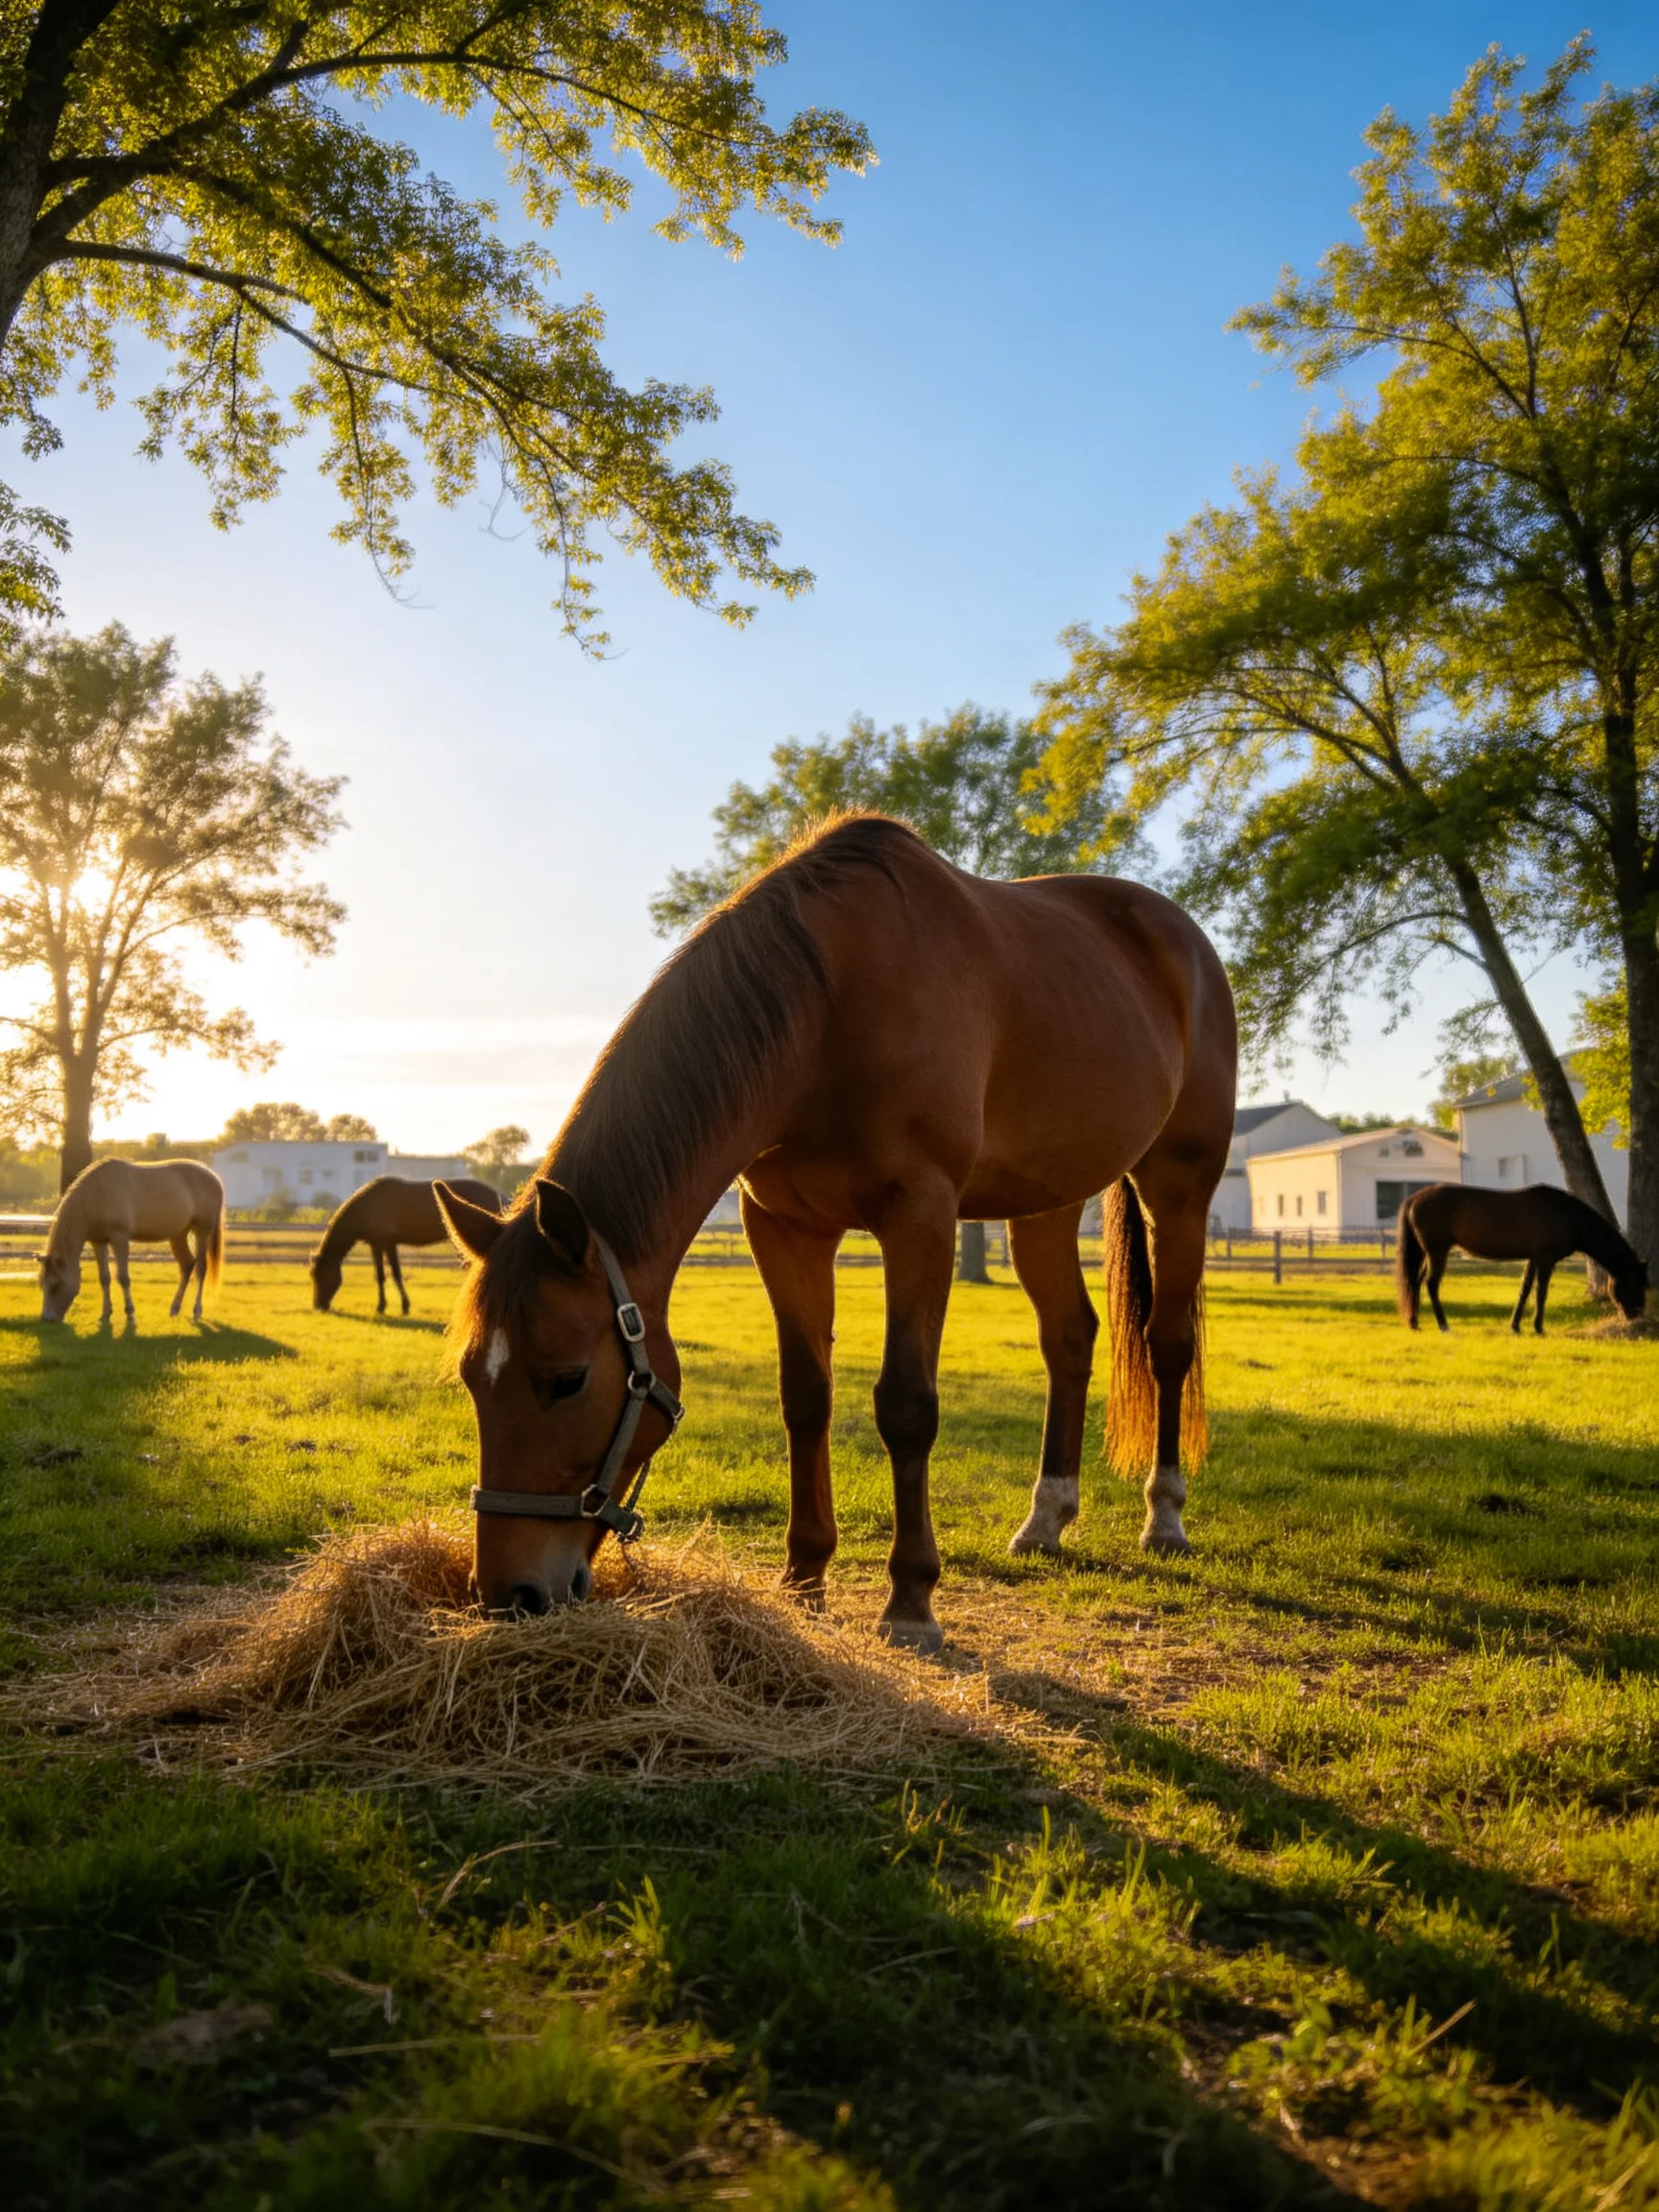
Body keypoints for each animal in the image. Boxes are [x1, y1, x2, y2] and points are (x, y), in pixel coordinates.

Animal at [38, 1158, 224, 1325]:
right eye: (42, 1284)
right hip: (179, 1234)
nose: (47, 1319)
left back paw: (197, 1311)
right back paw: (174, 1309)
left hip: (202, 1231)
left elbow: (123, 1277)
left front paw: (130, 1314)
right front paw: (105, 1314)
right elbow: (104, 1278)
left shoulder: (120, 1238)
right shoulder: (98, 1241)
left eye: (57, 1284)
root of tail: (214, 1178)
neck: (97, 1194)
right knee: (187, 1265)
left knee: (201, 1269)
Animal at [309, 1176, 507, 1314]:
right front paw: (382, 1306)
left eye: (322, 1274)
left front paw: (404, 1306)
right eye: (313, 1275)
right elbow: (380, 1276)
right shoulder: (376, 1244)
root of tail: (500, 1196)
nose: (318, 1305)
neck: (368, 1206)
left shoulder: (388, 1243)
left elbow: (396, 1274)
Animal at [436, 814, 1236, 1652]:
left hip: (1179, 1186)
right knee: (1069, 1338)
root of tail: (1180, 937)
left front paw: (911, 1599)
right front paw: (803, 1576)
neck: (829, 1007)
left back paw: (1164, 1515)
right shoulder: (785, 1226)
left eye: (567, 1380)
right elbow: (805, 1396)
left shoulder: (919, 1215)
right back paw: (1046, 1518)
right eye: (472, 1379)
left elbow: (907, 1406)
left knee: (1168, 1343)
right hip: (1045, 1202)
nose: (511, 1594)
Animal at [1397, 1182, 1649, 1336]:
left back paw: (1414, 1322)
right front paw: (1538, 1327)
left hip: (1429, 1253)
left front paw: (1516, 1326)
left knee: (1416, 1282)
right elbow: (1541, 1292)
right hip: (1438, 1251)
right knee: (1431, 1284)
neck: (1569, 1216)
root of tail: (1415, 1198)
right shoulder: (1546, 1259)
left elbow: (1525, 1290)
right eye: (1636, 1284)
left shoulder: (1533, 1258)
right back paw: (1443, 1325)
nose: (1636, 1316)